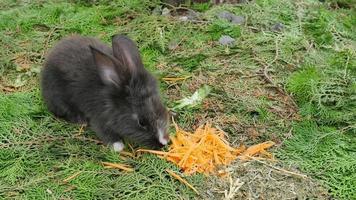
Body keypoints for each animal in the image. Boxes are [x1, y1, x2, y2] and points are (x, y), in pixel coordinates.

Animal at [40, 34, 170, 151]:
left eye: (161, 109)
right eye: (141, 122)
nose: (163, 143)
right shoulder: (99, 119)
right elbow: (106, 133)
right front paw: (118, 146)